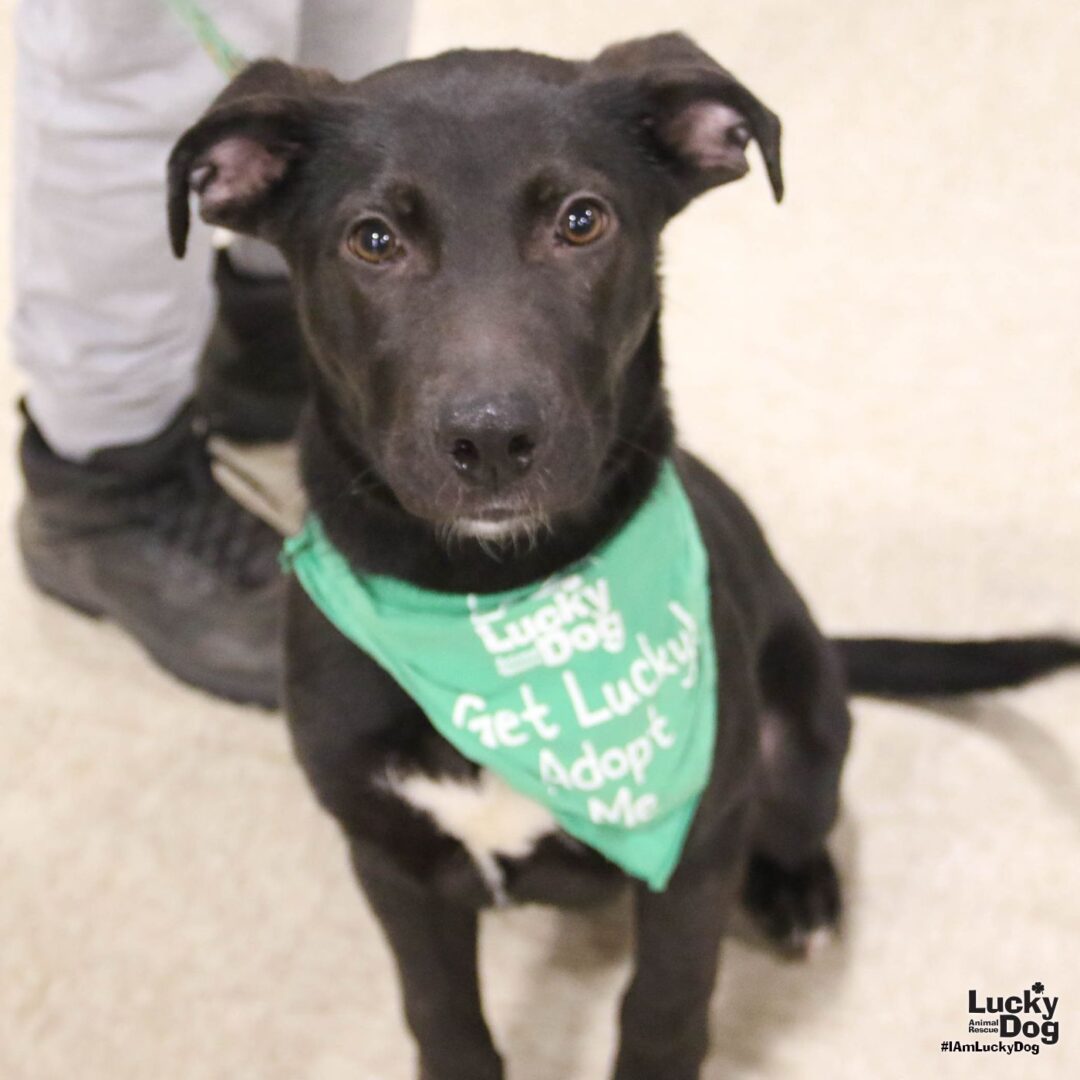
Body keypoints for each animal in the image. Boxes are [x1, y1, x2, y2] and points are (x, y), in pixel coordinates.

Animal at [168, 33, 1080, 1080]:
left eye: (582, 221)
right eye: (372, 240)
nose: (492, 440)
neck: (497, 601)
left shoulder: (693, 853)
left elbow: (665, 1008)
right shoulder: (388, 857)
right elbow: (442, 1013)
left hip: (805, 730)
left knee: (798, 817)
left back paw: (797, 891)